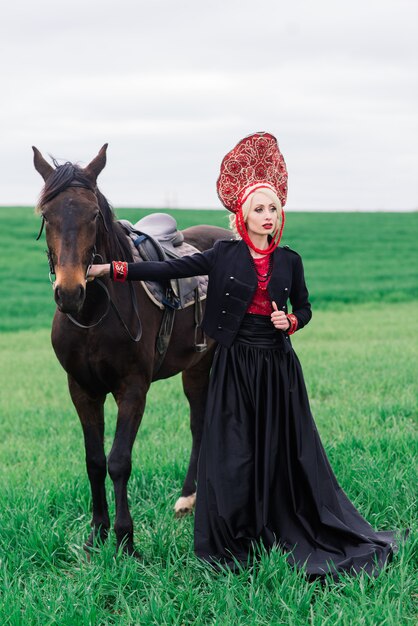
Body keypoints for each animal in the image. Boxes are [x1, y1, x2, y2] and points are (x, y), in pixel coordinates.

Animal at [32, 144, 229, 552]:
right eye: (47, 214)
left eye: (93, 214)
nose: (70, 291)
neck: (94, 313)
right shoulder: (82, 389)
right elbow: (94, 460)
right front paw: (97, 533)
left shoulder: (133, 388)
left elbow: (119, 460)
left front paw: (125, 538)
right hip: (196, 365)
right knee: (199, 422)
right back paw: (189, 498)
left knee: (204, 423)